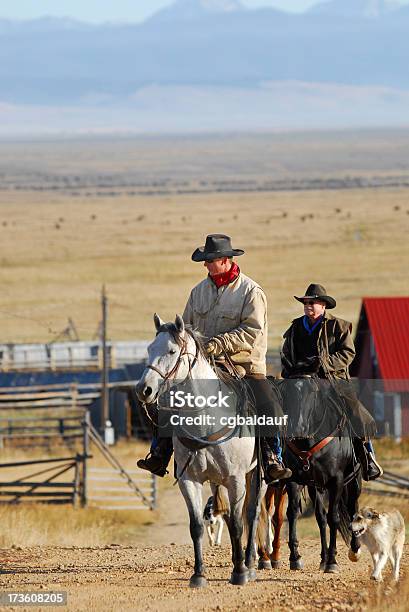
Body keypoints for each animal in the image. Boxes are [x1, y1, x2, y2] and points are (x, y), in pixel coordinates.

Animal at [135, 316, 266, 588]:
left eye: (172, 351)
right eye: (150, 348)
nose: (144, 390)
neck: (206, 421)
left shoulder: (235, 479)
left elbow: (237, 524)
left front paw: (239, 573)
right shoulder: (189, 480)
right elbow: (196, 526)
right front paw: (198, 575)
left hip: (260, 476)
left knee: (252, 514)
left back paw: (250, 564)